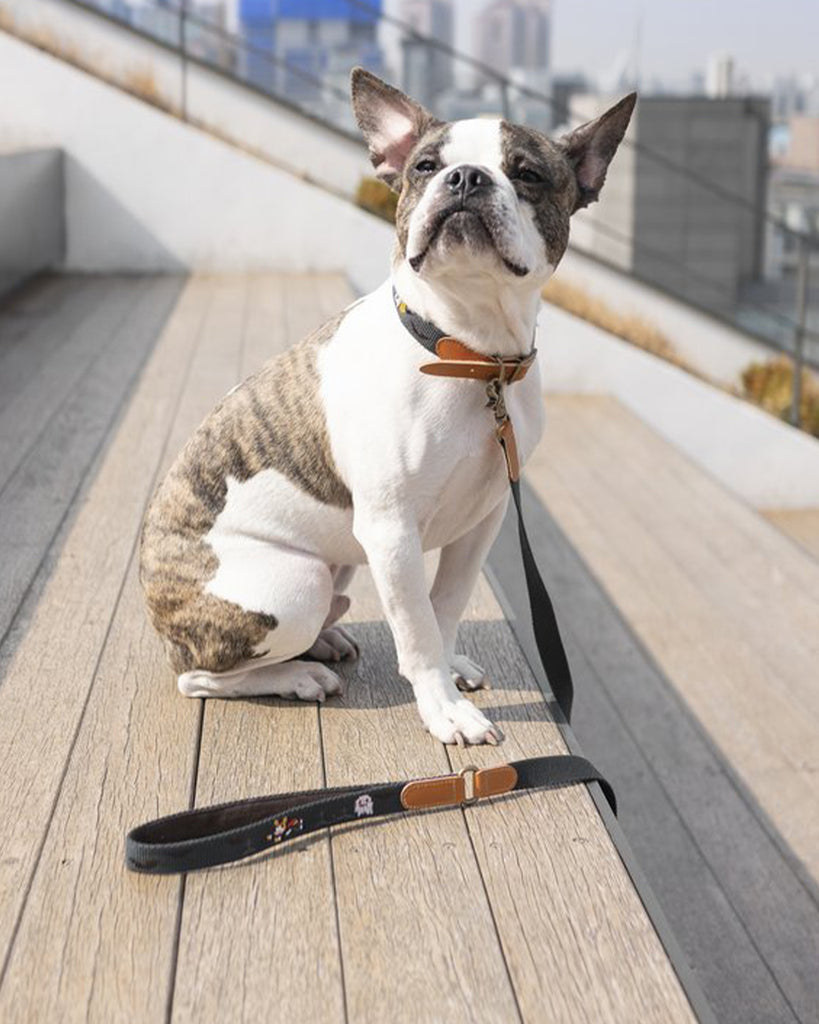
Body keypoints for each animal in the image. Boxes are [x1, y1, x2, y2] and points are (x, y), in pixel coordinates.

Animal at [139, 70, 634, 745]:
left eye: (528, 173)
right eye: (425, 166)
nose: (466, 177)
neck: (470, 354)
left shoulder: (482, 521)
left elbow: (445, 606)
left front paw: (450, 668)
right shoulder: (392, 531)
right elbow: (417, 628)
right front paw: (443, 708)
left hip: (338, 567)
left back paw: (325, 642)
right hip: (294, 586)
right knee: (199, 675)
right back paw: (297, 675)